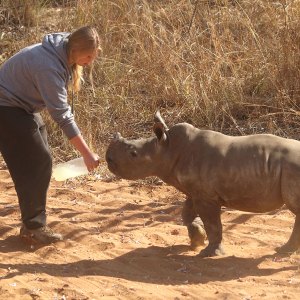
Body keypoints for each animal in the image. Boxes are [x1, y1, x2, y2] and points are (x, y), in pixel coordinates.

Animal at [105, 111, 300, 256]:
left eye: (133, 154)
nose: (108, 158)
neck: (167, 149)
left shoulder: (206, 196)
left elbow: (212, 223)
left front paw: (209, 253)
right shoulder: (196, 191)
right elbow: (187, 214)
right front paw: (197, 238)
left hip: (292, 168)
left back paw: (283, 252)